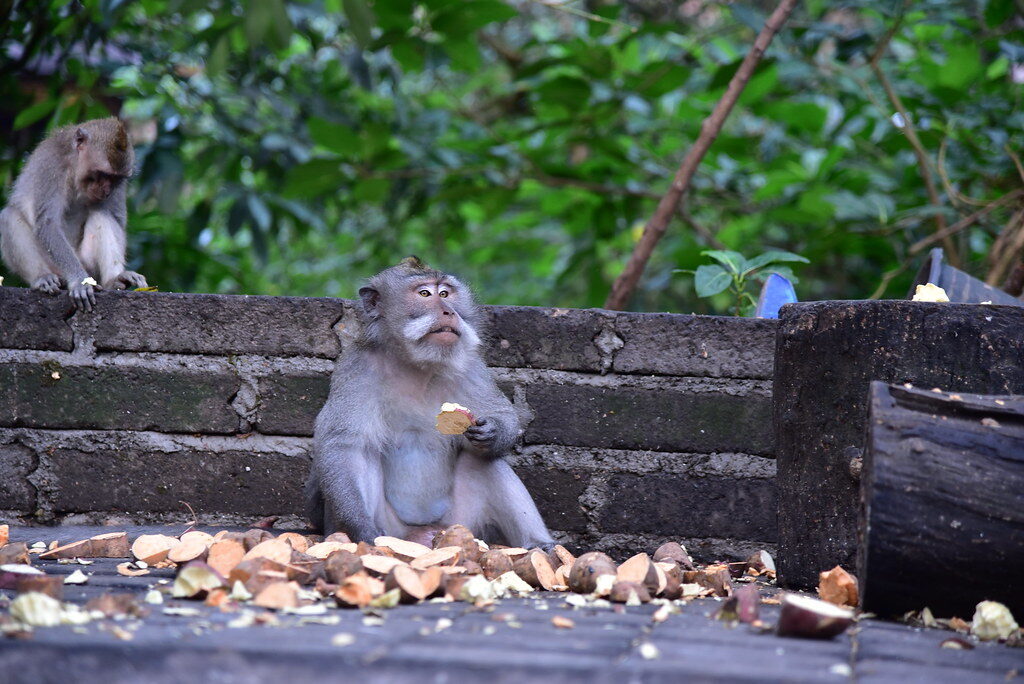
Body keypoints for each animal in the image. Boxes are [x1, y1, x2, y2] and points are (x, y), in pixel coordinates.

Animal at [0, 117, 147, 312]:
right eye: (102, 174)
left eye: (115, 179)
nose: (107, 191)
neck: (75, 166)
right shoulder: (52, 165)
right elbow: (48, 223)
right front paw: (79, 282)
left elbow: (116, 218)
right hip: (55, 265)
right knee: (8, 216)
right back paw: (43, 277)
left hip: (88, 264)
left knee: (101, 214)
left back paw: (113, 280)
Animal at [306, 257, 555, 550]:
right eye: (424, 294)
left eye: (445, 293)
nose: (449, 312)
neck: (416, 364)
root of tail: (422, 535)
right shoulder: (356, 369)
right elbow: (345, 446)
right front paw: (361, 527)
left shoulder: (471, 365)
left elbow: (503, 414)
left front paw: (491, 431)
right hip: (395, 529)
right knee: (364, 455)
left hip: (462, 523)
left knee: (485, 463)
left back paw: (540, 545)